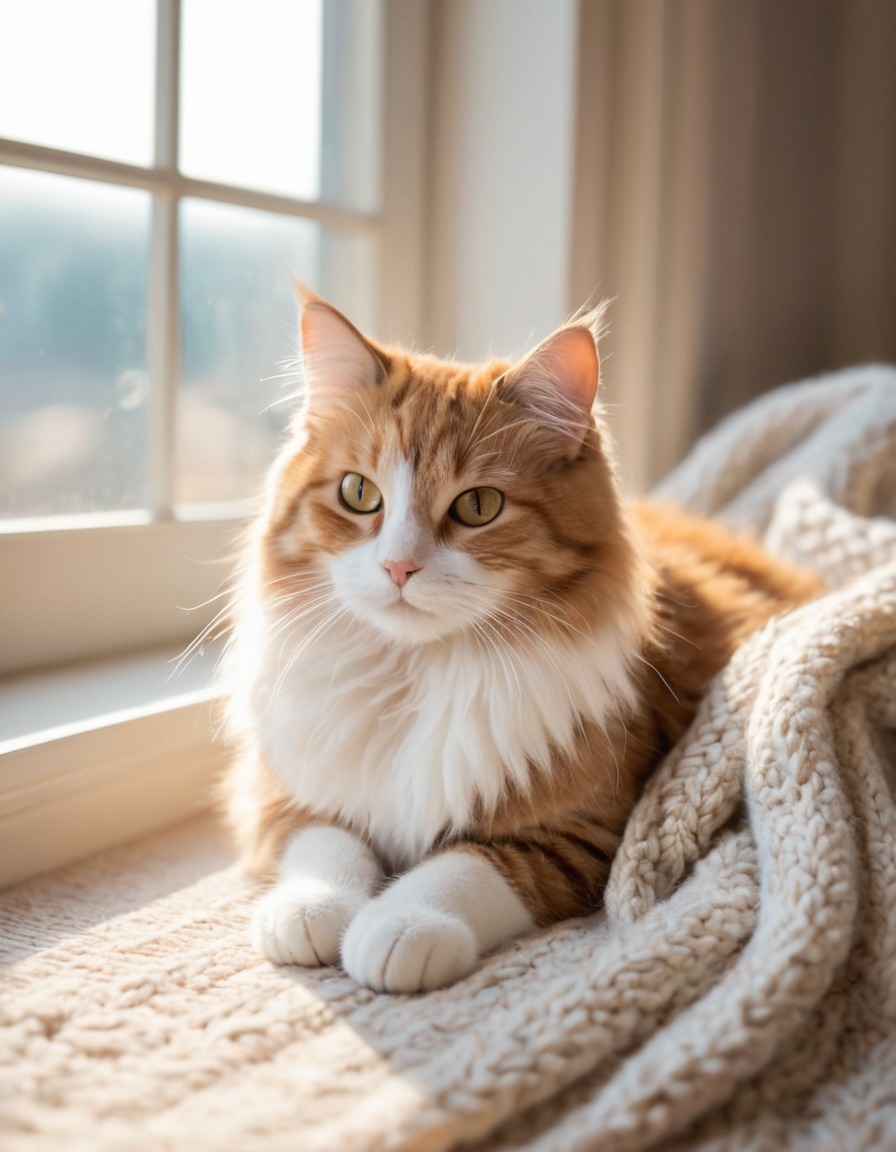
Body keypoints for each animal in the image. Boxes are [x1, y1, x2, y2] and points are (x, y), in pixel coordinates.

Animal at [221, 285, 815, 990]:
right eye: (359, 493)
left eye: (478, 507)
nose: (398, 567)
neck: (418, 673)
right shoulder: (284, 787)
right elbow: (324, 844)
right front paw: (311, 909)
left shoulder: (576, 831)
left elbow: (465, 870)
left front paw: (397, 928)